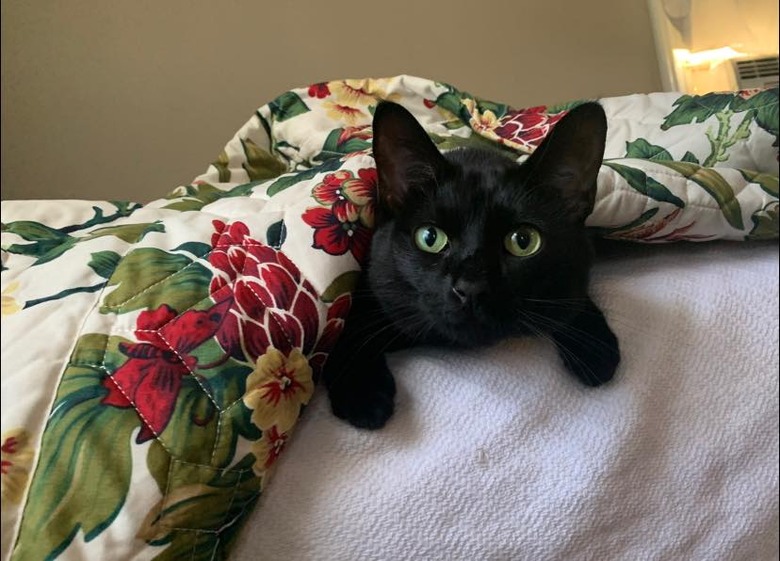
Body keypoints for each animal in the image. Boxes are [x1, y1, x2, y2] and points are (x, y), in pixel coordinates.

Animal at [320, 100, 620, 428]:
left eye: (524, 241)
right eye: (430, 237)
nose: (472, 287)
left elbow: (572, 296)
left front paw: (594, 347)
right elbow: (349, 327)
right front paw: (363, 393)